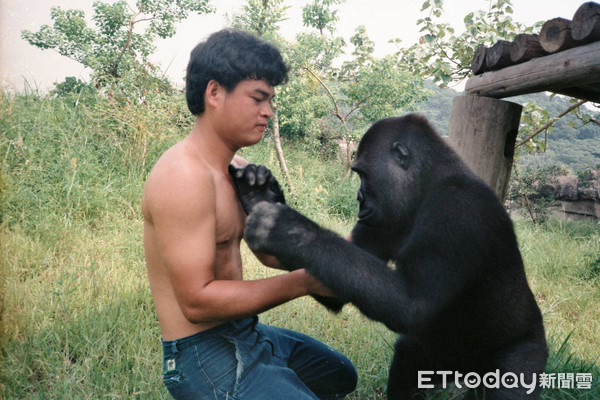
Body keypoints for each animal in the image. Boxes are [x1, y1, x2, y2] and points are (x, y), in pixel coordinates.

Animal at [230, 114, 548, 398]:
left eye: (363, 175)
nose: (359, 198)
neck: (428, 184)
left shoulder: (458, 208)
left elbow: (411, 303)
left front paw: (289, 231)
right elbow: (337, 287)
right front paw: (257, 195)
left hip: (525, 352)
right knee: (409, 363)